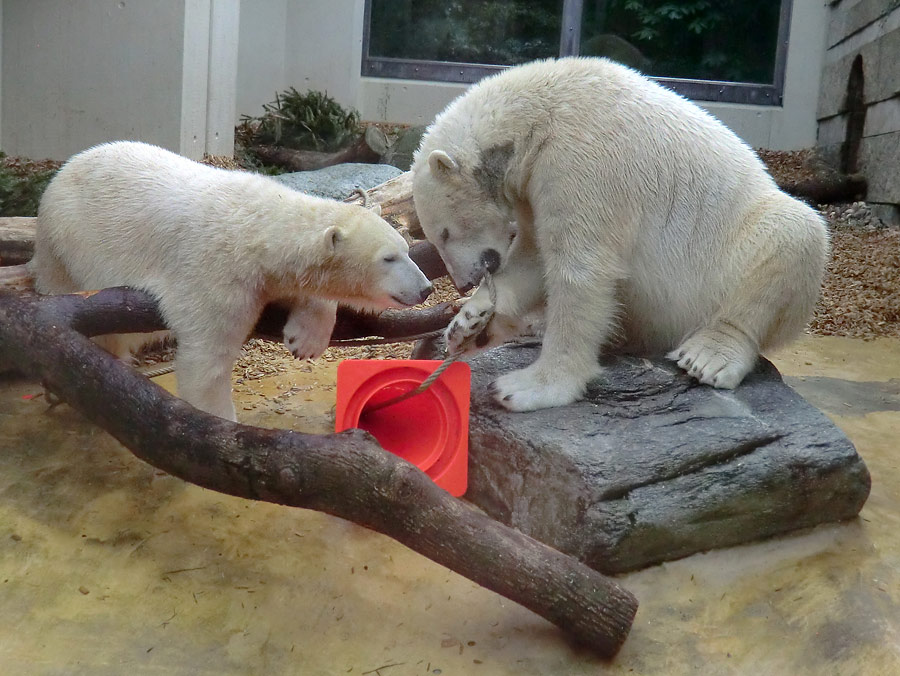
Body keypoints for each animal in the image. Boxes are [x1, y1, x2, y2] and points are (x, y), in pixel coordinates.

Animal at [31, 141, 432, 420]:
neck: (258, 225)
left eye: (406, 249)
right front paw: (219, 420)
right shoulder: (216, 269)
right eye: (388, 258)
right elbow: (207, 355)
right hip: (69, 243)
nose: (425, 288)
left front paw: (305, 339)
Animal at [412, 56, 828, 412]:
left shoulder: (583, 160)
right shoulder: (534, 184)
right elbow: (533, 254)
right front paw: (468, 323)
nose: (463, 282)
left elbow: (581, 270)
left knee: (792, 232)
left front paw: (526, 387)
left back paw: (708, 355)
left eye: (443, 233)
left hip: (737, 243)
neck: (538, 115)